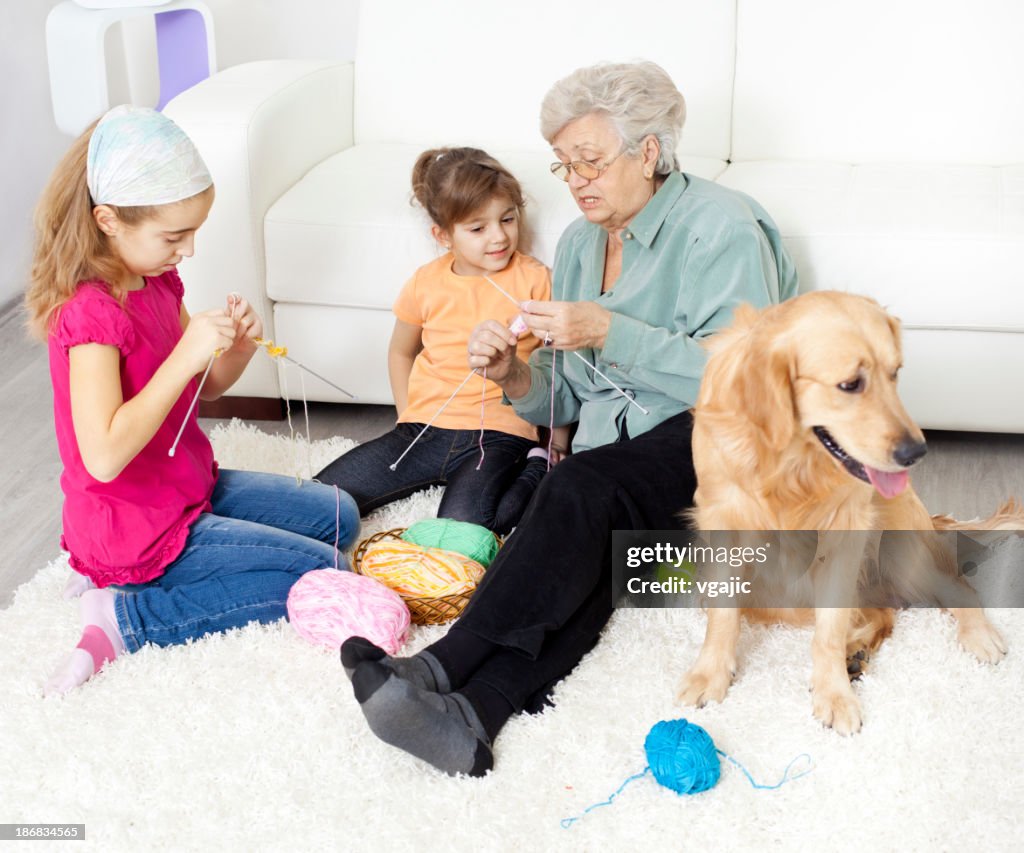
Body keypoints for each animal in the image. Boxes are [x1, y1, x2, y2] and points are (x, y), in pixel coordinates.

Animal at [675, 290, 1011, 733]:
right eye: (850, 384)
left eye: (895, 374)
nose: (916, 452)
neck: (791, 465)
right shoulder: (723, 524)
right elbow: (723, 616)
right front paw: (709, 674)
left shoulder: (844, 535)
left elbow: (829, 630)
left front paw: (833, 694)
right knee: (882, 614)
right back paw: (857, 652)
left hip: (901, 551)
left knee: (956, 587)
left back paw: (974, 635)